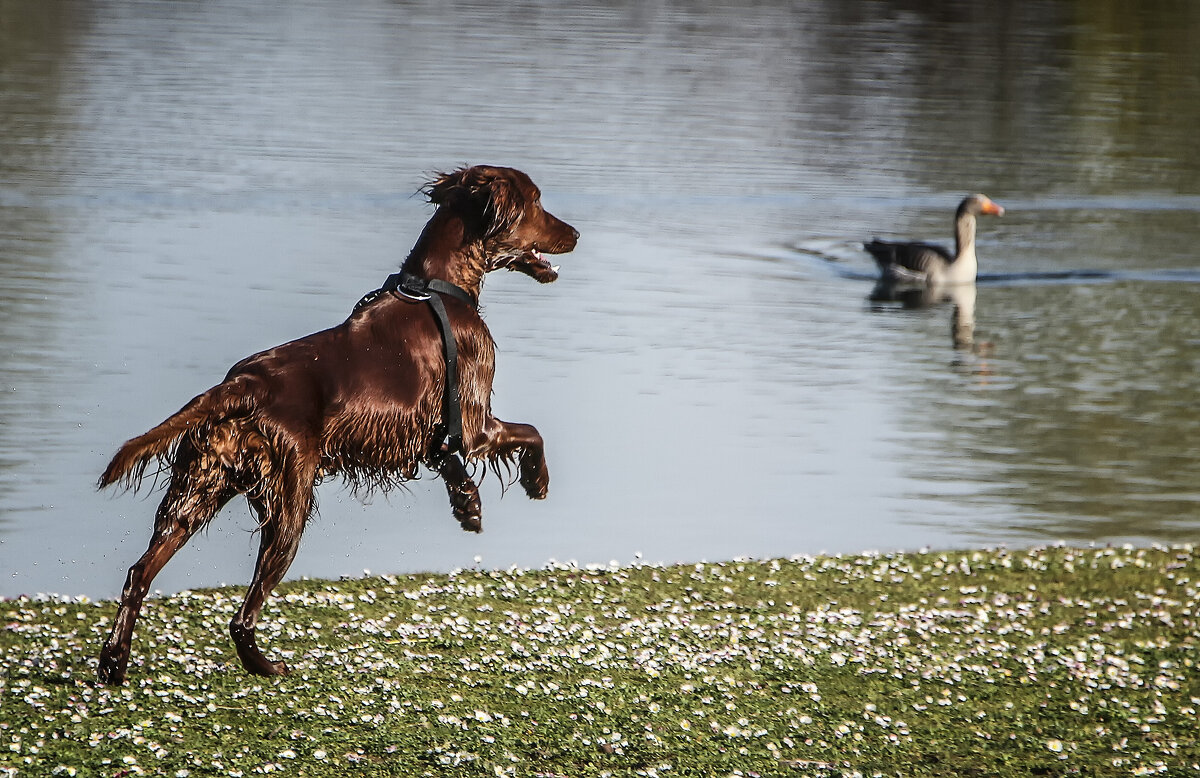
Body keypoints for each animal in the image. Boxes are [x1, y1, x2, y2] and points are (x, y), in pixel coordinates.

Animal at [98, 164, 576, 681]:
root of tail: (243, 384)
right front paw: (537, 481)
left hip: (198, 491)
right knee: (242, 614)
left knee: (139, 574)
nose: (574, 234)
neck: (439, 288)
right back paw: (265, 666)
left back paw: (114, 663)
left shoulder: (432, 430)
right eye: (537, 201)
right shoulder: (474, 422)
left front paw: (468, 504)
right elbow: (530, 433)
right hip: (288, 505)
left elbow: (449, 460)